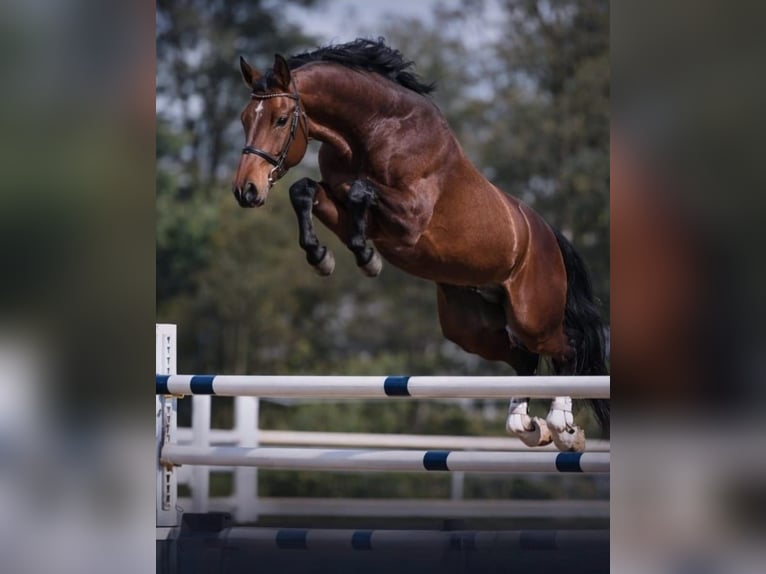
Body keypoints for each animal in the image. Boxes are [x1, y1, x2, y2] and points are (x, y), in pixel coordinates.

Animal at [232, 39, 609, 451]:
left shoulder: (410, 217)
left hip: (532, 315)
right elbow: (306, 190)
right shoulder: (340, 199)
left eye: (281, 119)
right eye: (245, 118)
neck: (372, 130)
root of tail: (549, 236)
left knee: (566, 347)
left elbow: (360, 190)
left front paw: (365, 256)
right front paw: (324, 256)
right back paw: (526, 426)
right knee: (523, 359)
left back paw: (563, 426)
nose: (246, 190)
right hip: (470, 328)